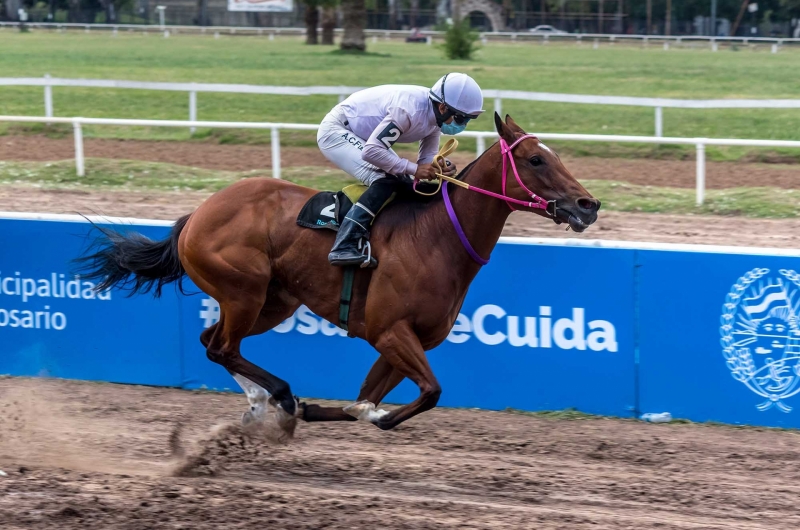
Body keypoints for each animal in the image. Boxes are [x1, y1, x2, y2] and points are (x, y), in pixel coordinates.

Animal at [76, 114, 600, 434]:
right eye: (536, 159)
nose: (587, 204)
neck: (436, 238)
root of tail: (197, 215)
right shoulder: (391, 332)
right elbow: (427, 393)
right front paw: (361, 413)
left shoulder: (404, 342)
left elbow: (374, 396)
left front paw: (342, 409)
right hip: (244, 291)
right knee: (222, 347)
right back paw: (281, 396)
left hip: (274, 300)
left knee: (213, 343)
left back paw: (262, 404)